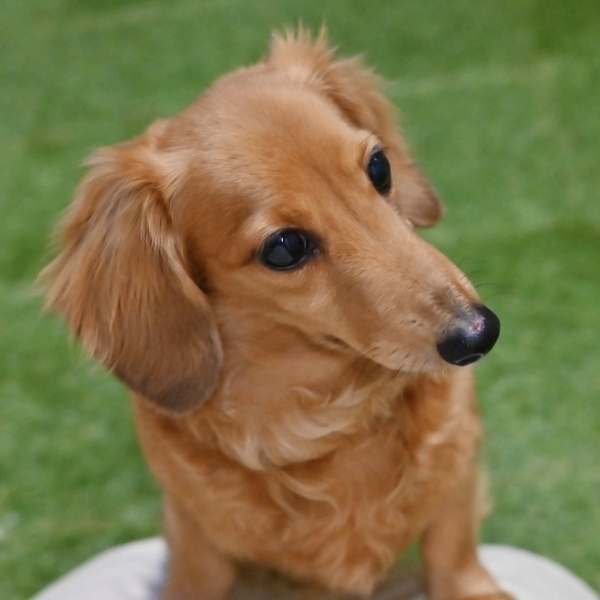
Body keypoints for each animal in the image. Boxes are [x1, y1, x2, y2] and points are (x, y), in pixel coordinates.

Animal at [41, 29, 511, 600]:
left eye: (379, 166)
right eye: (284, 248)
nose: (479, 333)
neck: (325, 418)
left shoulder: (456, 474)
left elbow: (452, 550)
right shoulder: (198, 542)